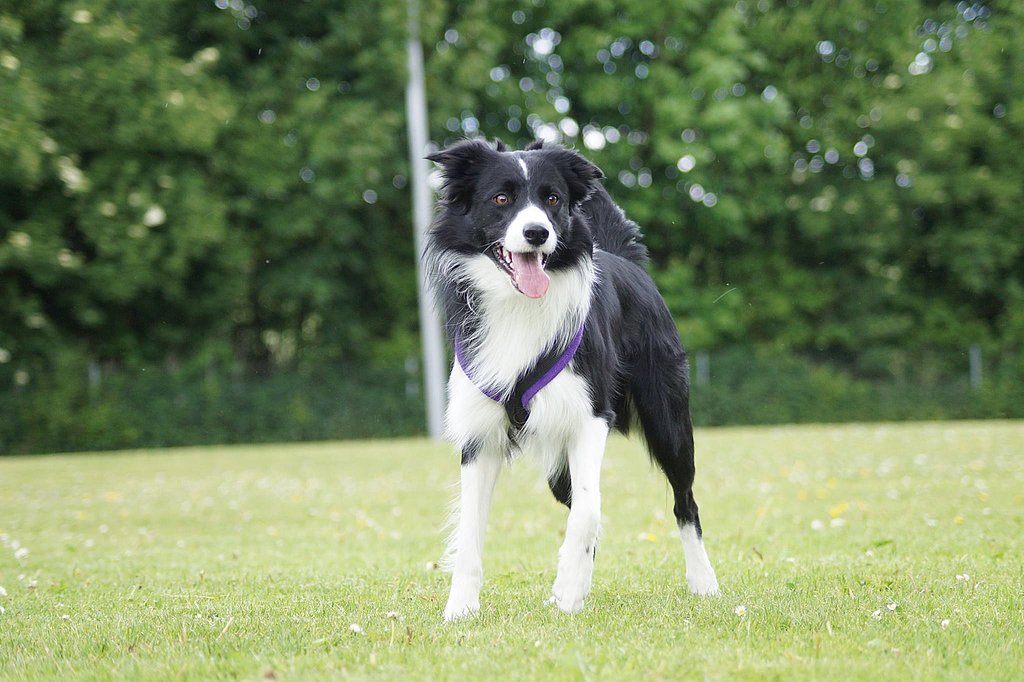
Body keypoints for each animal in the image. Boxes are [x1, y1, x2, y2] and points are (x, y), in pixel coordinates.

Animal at [425, 138, 719, 621]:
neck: (519, 306)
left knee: (684, 501)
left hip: (669, 420)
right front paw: (460, 610)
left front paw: (567, 592)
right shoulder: (479, 436)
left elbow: (589, 511)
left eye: (552, 199)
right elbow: (469, 529)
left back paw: (703, 582)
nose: (537, 233)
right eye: (501, 199)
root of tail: (622, 258)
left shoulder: (590, 416)